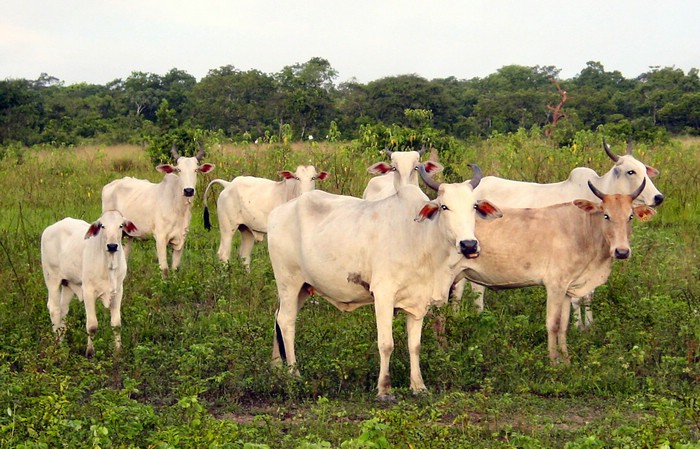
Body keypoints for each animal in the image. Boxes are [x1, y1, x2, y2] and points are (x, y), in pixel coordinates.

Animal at [41, 210, 141, 356]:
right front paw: (89, 352)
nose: (112, 246)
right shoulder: (88, 291)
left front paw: (118, 352)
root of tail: (49, 229)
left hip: (67, 283)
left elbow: (116, 324)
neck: (109, 264)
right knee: (54, 309)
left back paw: (63, 343)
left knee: (63, 310)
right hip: (52, 279)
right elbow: (92, 326)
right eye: (102, 226)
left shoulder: (118, 291)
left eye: (121, 225)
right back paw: (58, 346)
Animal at [454, 178, 656, 360]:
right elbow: (553, 323)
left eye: (630, 216)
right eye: (606, 215)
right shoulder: (555, 285)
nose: (622, 251)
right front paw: (553, 361)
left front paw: (565, 360)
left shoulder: (567, 288)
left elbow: (564, 324)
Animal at [462, 138, 664, 328]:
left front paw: (589, 324)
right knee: (474, 287)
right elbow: (575, 298)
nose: (658, 197)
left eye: (645, 170)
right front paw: (577, 325)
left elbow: (588, 295)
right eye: (631, 171)